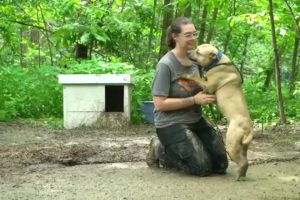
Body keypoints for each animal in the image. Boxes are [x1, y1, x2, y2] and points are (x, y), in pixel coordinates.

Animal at [183, 44, 253, 181]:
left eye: (198, 52)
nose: (187, 52)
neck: (217, 62)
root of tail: (248, 128)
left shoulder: (208, 86)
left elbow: (196, 77)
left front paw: (187, 74)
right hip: (242, 147)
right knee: (246, 161)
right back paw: (241, 176)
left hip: (231, 145)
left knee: (242, 162)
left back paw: (238, 176)